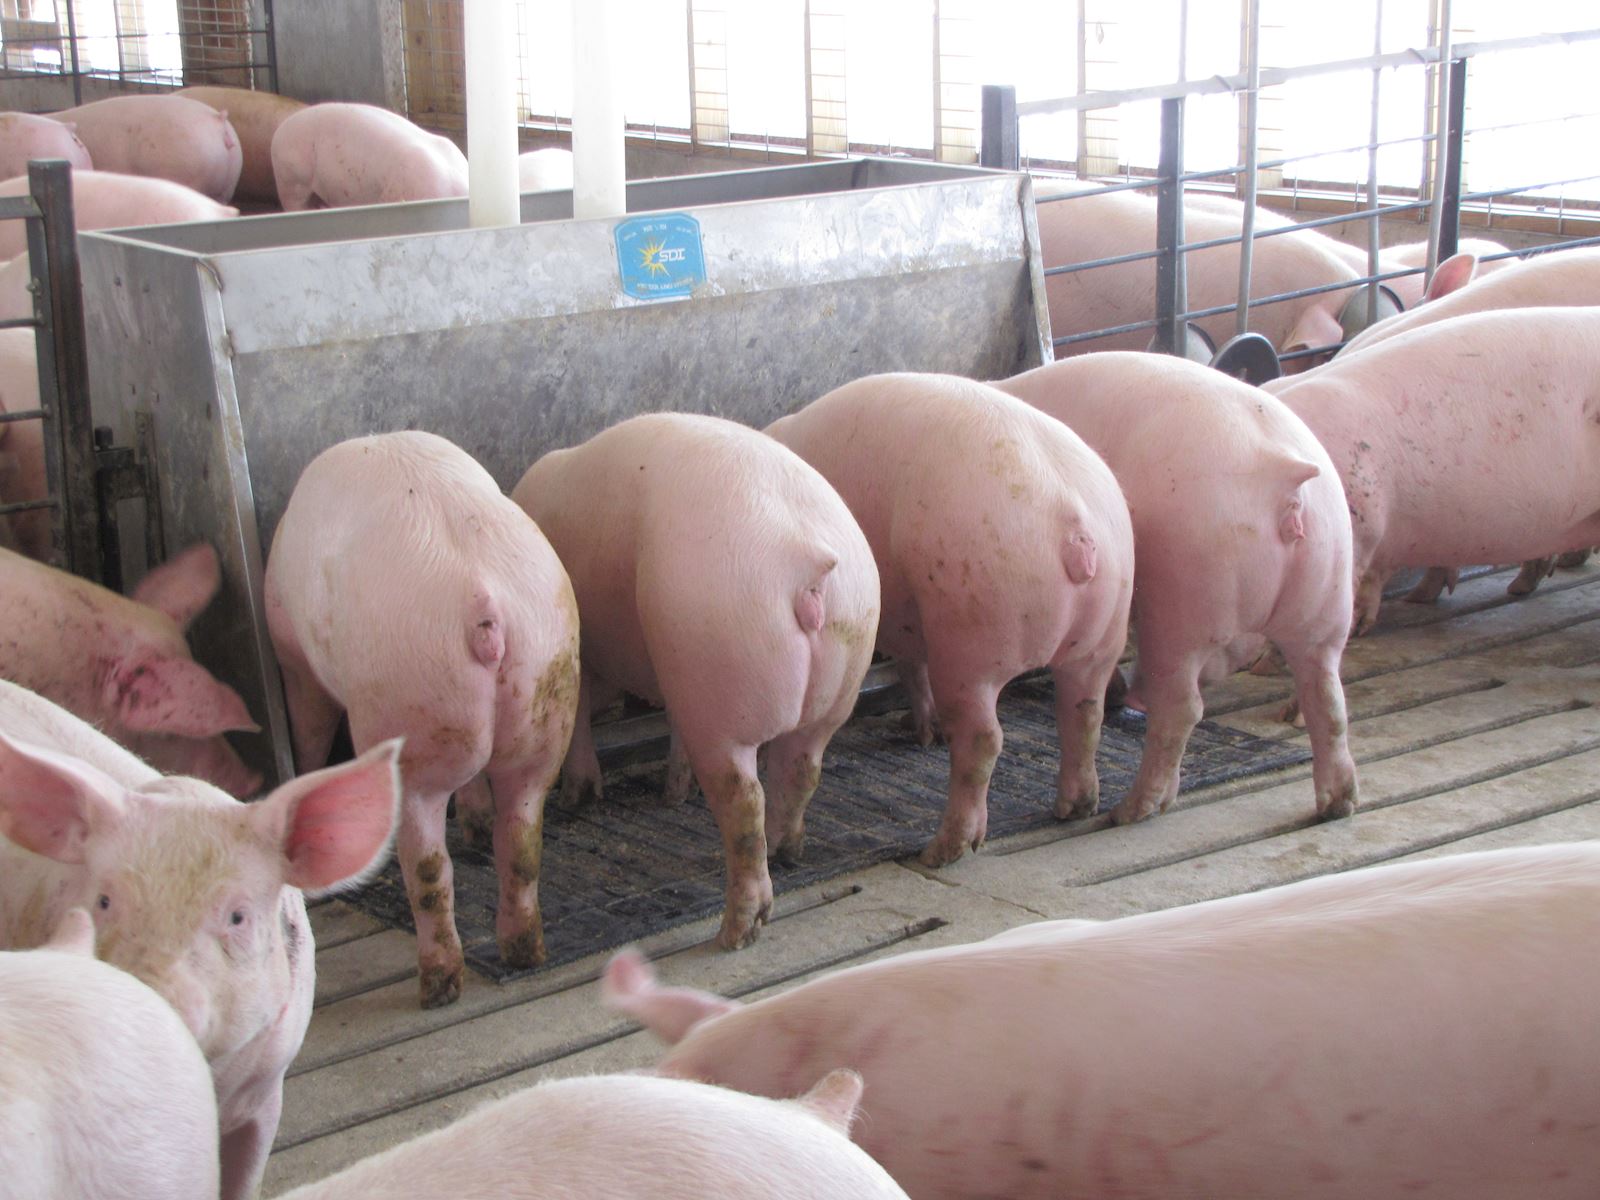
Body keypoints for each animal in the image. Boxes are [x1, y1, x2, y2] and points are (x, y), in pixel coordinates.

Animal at [265, 431, 580, 1009]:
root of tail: (485, 604)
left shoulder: (295, 661)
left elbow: (311, 730)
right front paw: (475, 820)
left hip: (410, 710)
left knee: (431, 868)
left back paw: (437, 987)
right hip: (547, 693)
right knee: (521, 840)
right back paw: (525, 951)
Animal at [512, 413, 880, 950]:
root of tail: (808, 564)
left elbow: (580, 716)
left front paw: (580, 796)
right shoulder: (672, 671)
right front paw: (672, 794)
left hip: (722, 679)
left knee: (744, 802)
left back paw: (736, 932)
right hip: (838, 669)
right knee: (802, 769)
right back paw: (787, 852)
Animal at [766, 374, 1133, 863]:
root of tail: (1074, 529)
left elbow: (911, 667)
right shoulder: (909, 615)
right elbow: (911, 665)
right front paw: (922, 731)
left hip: (971, 634)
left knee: (983, 740)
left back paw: (943, 850)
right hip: (1105, 630)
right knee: (1084, 713)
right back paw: (1075, 808)